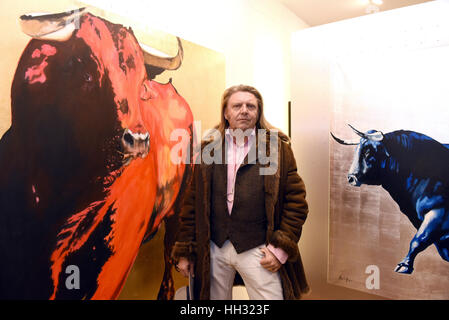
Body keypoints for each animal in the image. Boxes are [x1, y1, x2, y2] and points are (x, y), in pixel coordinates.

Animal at [328, 124, 448, 272]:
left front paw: (404, 265)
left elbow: (418, 239)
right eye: (356, 150)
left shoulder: (438, 211)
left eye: (368, 152)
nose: (351, 178)